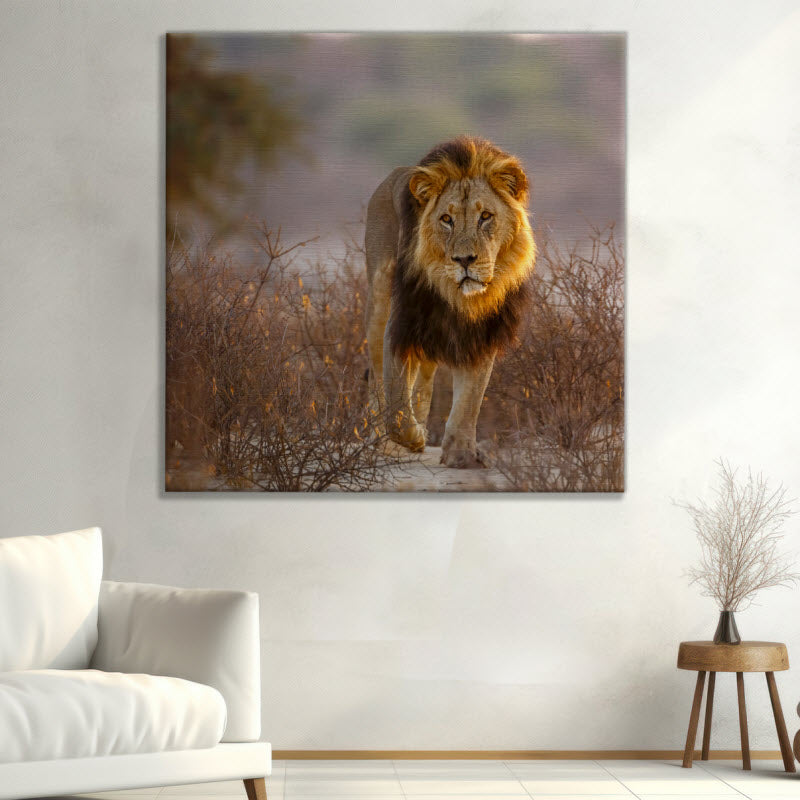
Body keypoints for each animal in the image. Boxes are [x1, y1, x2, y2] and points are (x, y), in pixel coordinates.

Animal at [365, 136, 536, 468]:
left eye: (486, 217)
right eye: (446, 219)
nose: (465, 260)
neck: (457, 297)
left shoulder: (482, 334)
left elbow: (469, 400)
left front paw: (460, 454)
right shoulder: (401, 324)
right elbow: (396, 400)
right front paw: (412, 437)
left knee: (425, 375)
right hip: (379, 300)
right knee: (377, 372)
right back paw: (381, 439)